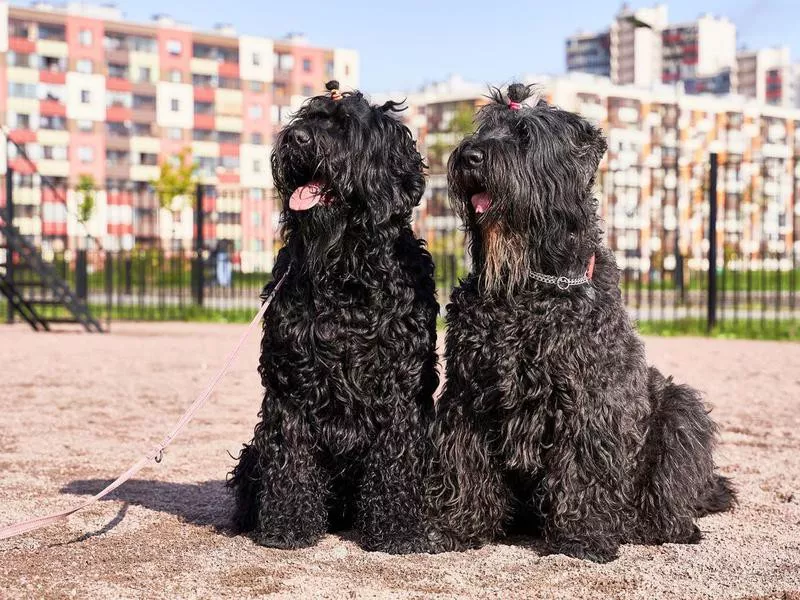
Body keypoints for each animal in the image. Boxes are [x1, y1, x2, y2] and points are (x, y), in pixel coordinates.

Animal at [228, 79, 440, 552]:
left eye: (344, 128)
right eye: (305, 119)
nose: (295, 140)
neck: (347, 272)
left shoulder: (400, 387)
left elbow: (396, 457)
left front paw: (398, 528)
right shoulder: (290, 381)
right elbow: (291, 457)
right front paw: (287, 525)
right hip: (253, 451)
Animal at [428, 83, 736, 564]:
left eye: (525, 137)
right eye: (484, 129)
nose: (470, 156)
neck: (531, 285)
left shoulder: (587, 400)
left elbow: (581, 466)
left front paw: (582, 537)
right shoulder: (468, 393)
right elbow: (465, 461)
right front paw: (456, 526)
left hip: (678, 409)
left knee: (671, 489)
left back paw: (652, 524)